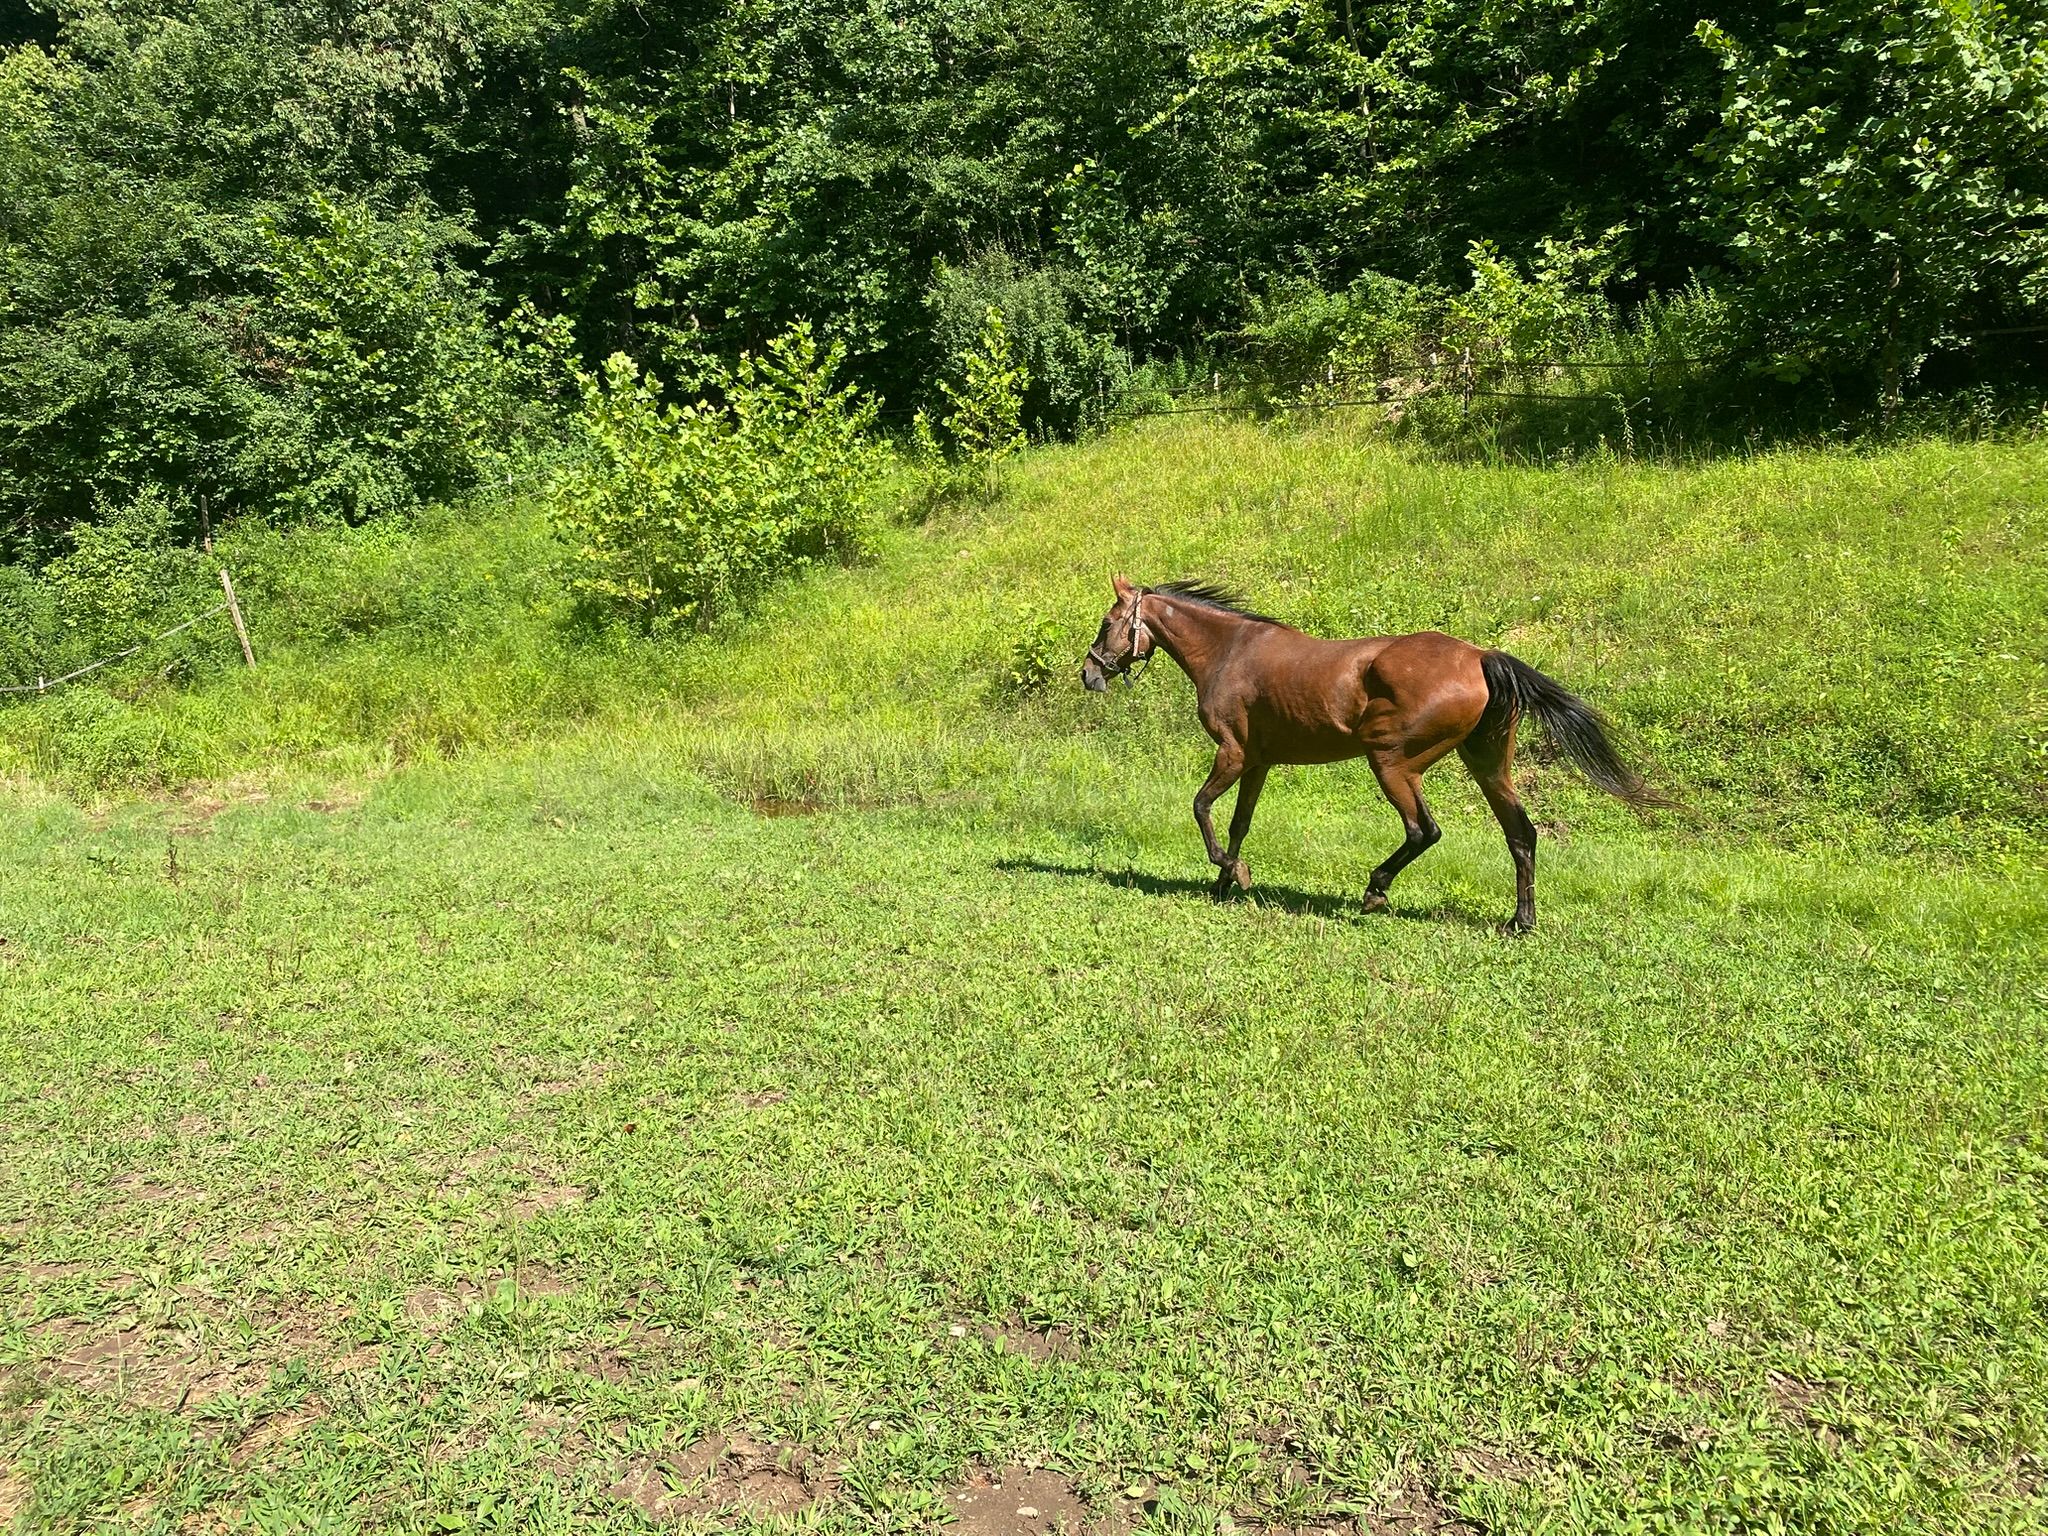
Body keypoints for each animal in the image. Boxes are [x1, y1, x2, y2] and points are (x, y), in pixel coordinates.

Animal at [1080, 576, 1666, 933]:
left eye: (1107, 624)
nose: (1088, 673)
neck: (1230, 652)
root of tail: (1481, 657)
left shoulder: (1233, 753)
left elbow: (1202, 808)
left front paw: (1231, 873)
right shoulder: (1259, 762)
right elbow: (1238, 824)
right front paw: (1226, 883)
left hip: (1393, 763)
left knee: (1423, 831)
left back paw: (1374, 892)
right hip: (1487, 765)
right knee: (1521, 835)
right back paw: (1520, 922)